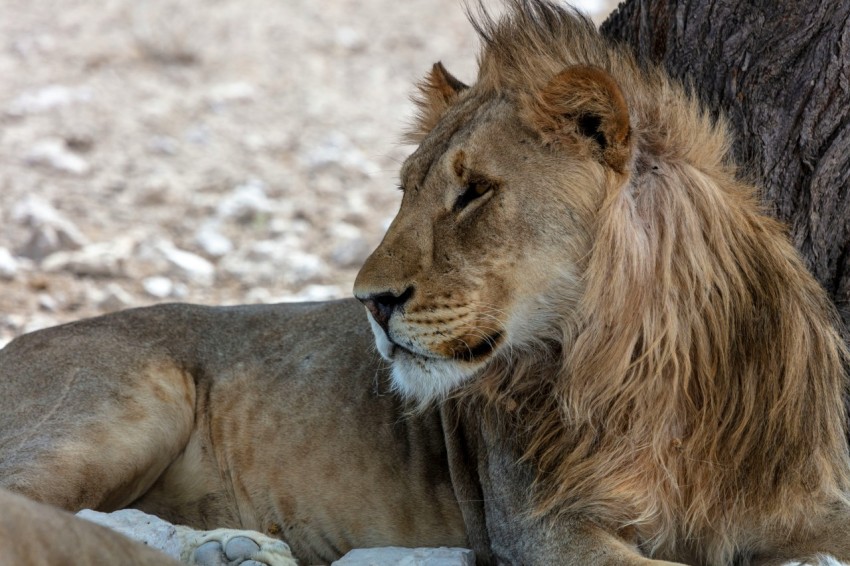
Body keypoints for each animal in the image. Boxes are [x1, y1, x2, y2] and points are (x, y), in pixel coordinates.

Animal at [2, 1, 850, 564]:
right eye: (408, 188)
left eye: (473, 192)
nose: (370, 303)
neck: (649, 367)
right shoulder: (544, 528)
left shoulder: (813, 502)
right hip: (129, 399)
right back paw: (233, 547)